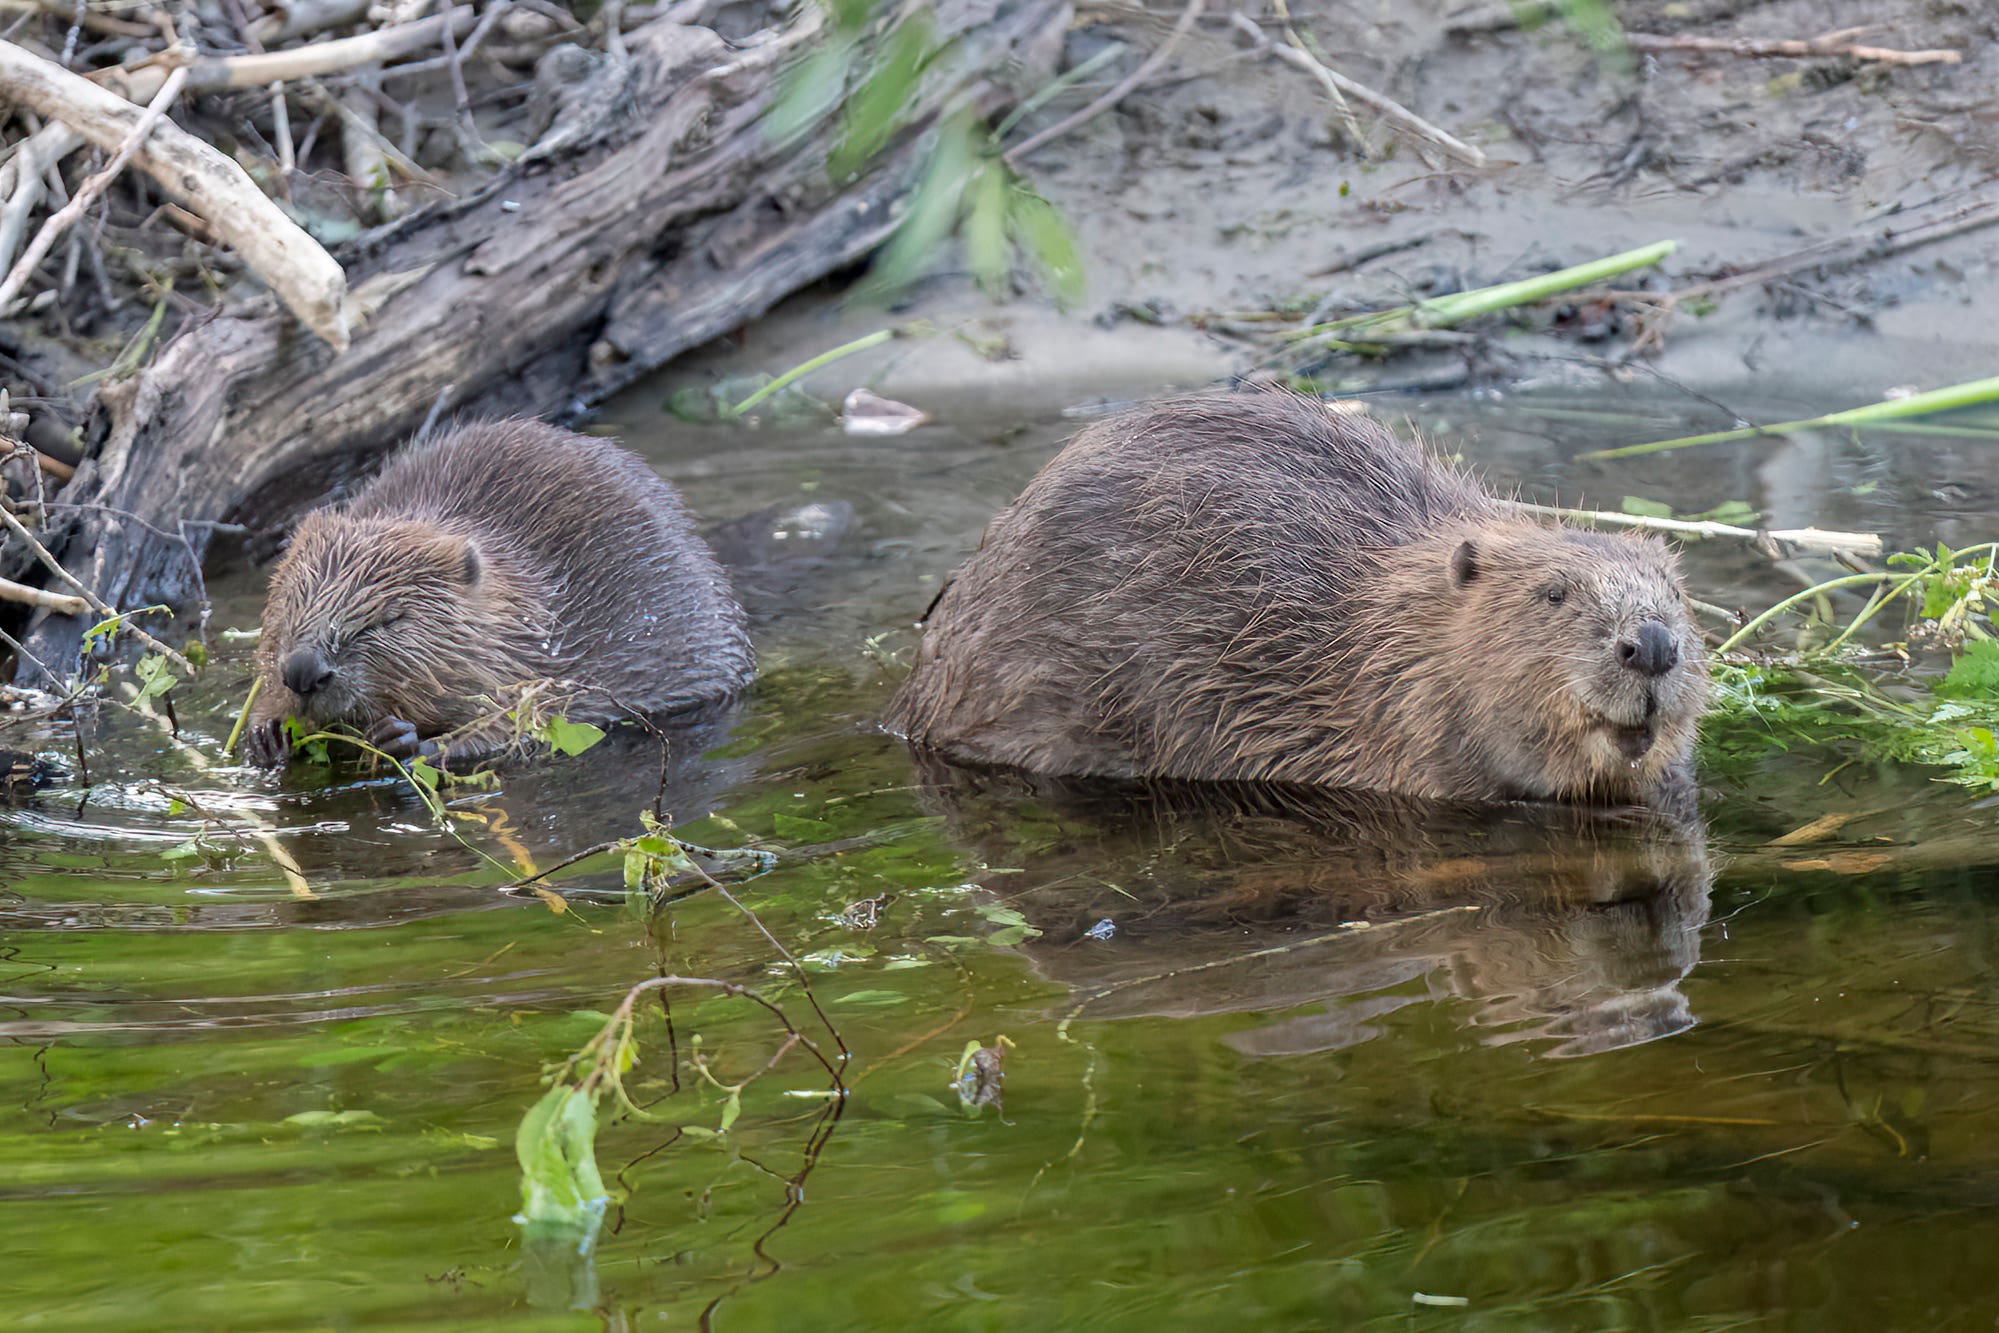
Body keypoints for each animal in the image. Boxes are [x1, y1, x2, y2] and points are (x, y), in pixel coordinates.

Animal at [241, 417, 751, 771]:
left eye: (388, 620)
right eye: (291, 601)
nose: (304, 671)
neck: (521, 605)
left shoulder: (535, 663)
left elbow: (515, 725)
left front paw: (403, 739)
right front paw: (266, 731)